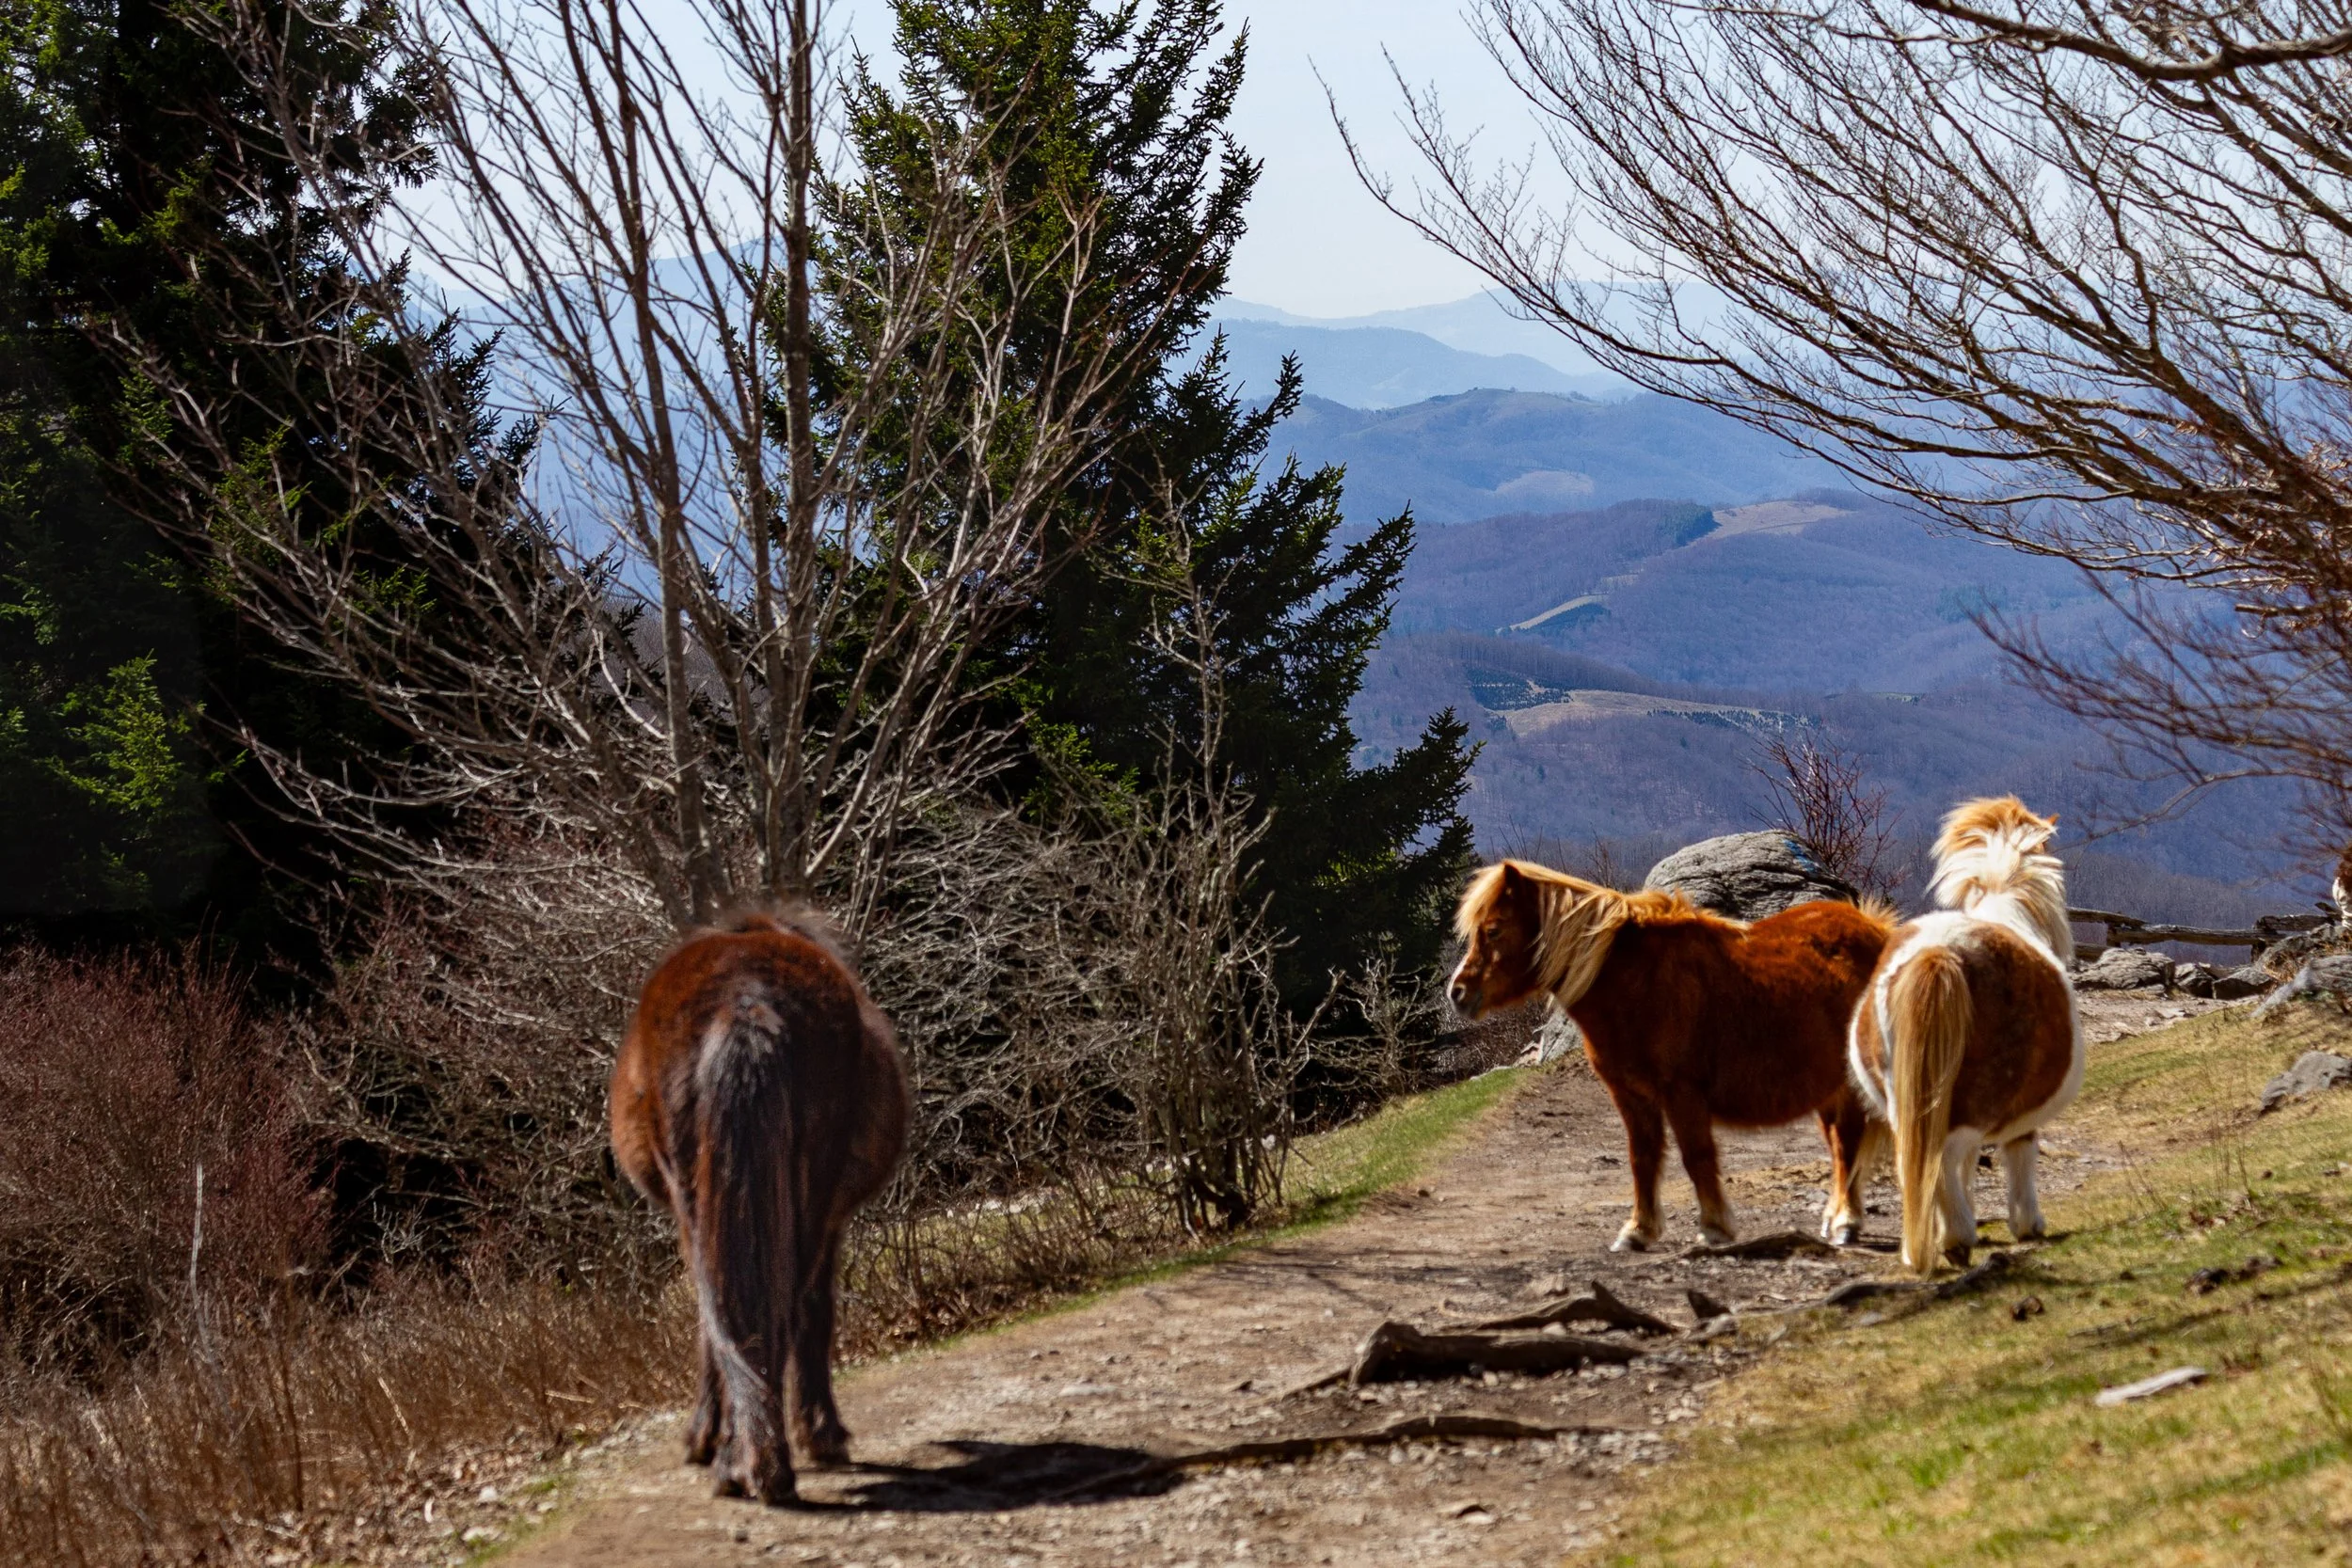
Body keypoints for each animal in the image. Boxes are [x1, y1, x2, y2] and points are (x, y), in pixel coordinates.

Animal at [609, 906, 909, 1505]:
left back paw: (743, 1460)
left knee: (742, 1303)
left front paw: (705, 1438)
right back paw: (764, 1456)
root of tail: (744, 996)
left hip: (718, 1197)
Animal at [1450, 861, 1897, 1252]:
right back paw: (1834, 1218)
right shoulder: (1630, 1096)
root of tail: (1877, 932)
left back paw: (1846, 1223)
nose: (1457, 993)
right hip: (1828, 1090)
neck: (1636, 981)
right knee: (1839, 1147)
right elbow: (1642, 1158)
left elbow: (1696, 1156)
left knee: (1849, 1144)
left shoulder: (1682, 1093)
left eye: (1493, 929)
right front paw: (1637, 1232)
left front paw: (1714, 1227)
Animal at [1847, 797, 2078, 1274]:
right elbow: (2017, 1151)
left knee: (1916, 1158)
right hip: (1978, 1098)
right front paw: (2027, 1223)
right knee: (1945, 1155)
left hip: (1902, 1098)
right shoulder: (2017, 1110)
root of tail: (1939, 953)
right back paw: (1957, 1236)